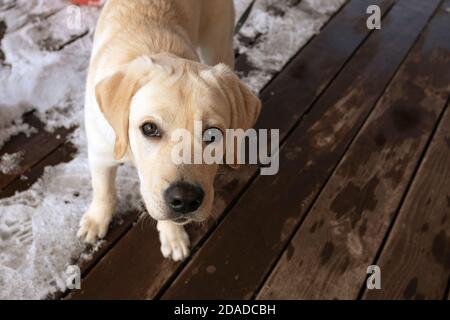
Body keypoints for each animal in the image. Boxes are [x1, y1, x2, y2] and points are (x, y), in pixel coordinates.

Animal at [77, 0, 260, 260]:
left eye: (212, 134)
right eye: (149, 128)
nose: (185, 200)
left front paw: (172, 237)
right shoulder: (100, 153)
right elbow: (103, 189)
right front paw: (96, 220)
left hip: (219, 45)